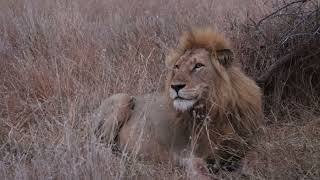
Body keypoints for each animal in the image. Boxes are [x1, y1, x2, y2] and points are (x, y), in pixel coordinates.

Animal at [94, 27, 264, 177]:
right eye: (177, 66)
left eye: (198, 66)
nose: (175, 86)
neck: (216, 110)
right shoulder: (185, 154)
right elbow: (201, 171)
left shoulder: (244, 145)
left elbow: (254, 159)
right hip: (123, 99)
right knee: (100, 146)